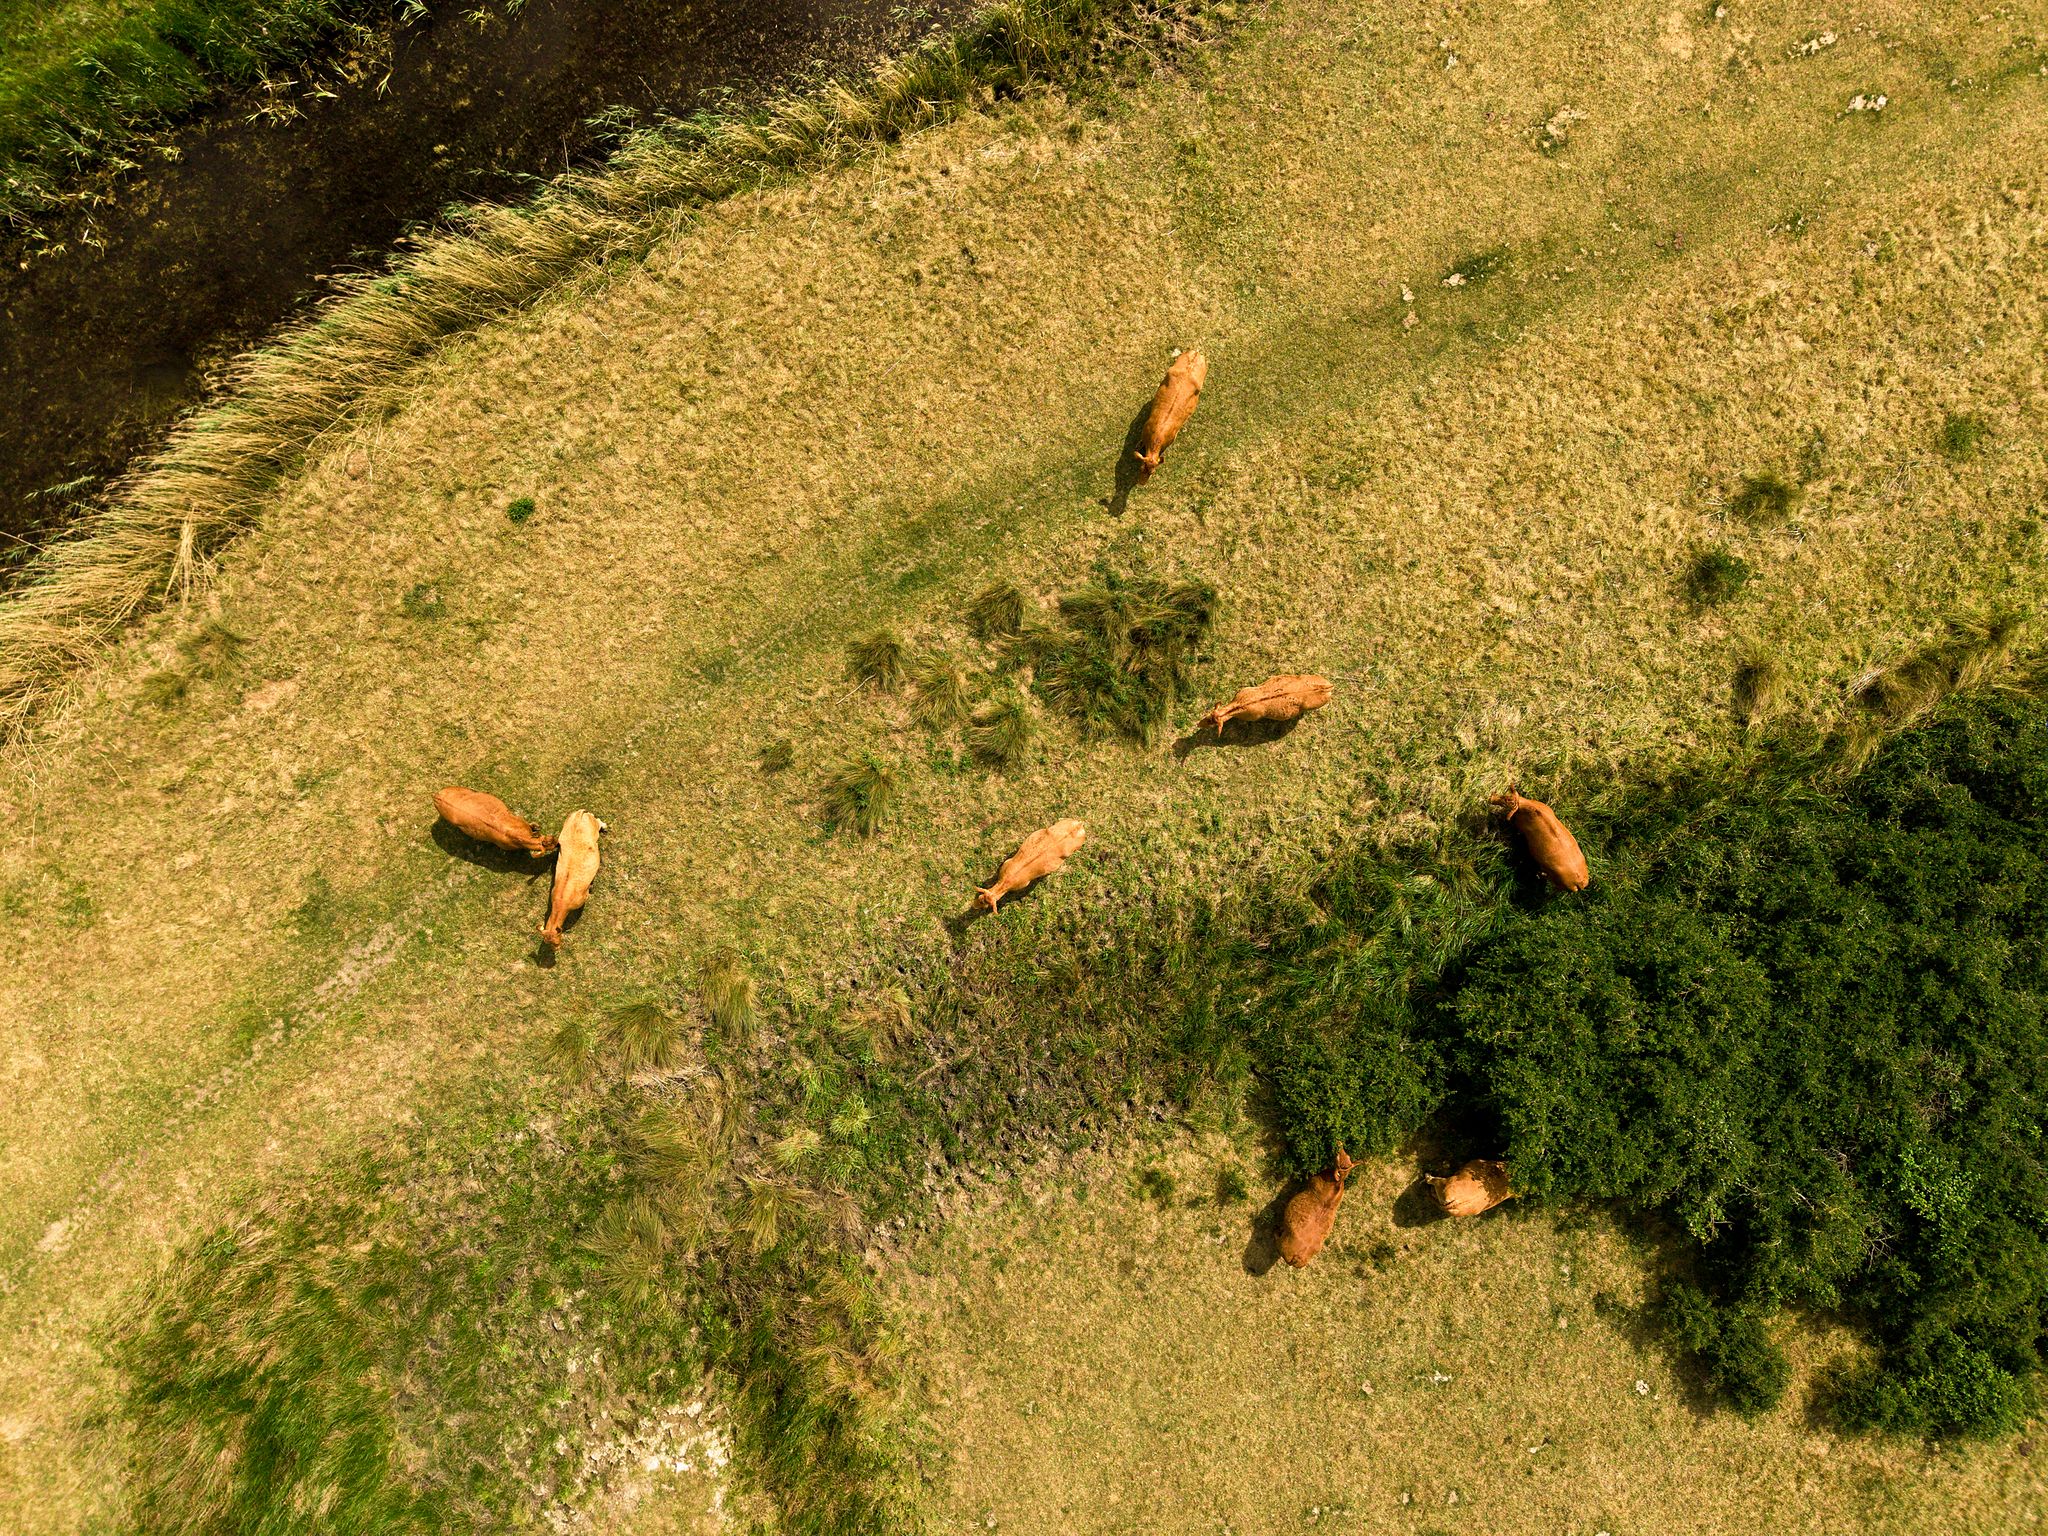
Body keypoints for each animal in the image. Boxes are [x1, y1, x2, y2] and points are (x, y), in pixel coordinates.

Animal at [540, 810, 607, 948]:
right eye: (549, 943)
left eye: (556, 942)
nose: (557, 949)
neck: (562, 901)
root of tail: (580, 813)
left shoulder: (582, 898)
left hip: (595, 826)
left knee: (598, 821)